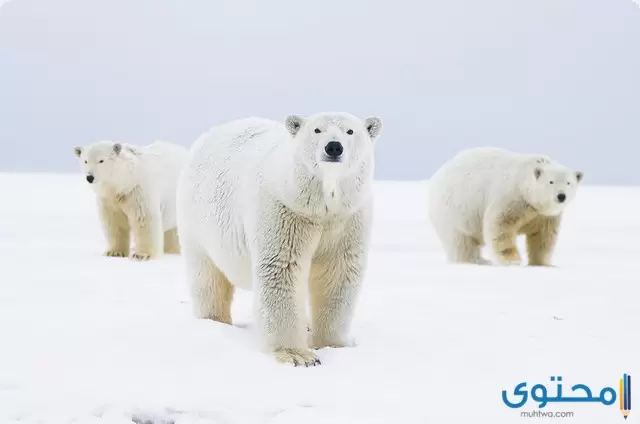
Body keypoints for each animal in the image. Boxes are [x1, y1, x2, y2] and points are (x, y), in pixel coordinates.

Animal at [175, 112, 382, 368]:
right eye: (317, 130)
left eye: (350, 131)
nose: (334, 147)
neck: (320, 205)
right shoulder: (286, 211)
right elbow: (282, 268)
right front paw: (298, 355)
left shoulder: (347, 219)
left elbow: (337, 273)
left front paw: (333, 344)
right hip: (198, 222)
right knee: (207, 276)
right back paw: (214, 320)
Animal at [428, 147, 584, 266]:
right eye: (551, 182)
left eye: (568, 182)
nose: (561, 196)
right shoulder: (511, 198)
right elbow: (500, 227)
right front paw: (512, 261)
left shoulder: (544, 215)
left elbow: (543, 236)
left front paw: (543, 263)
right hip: (454, 211)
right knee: (460, 242)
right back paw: (475, 260)